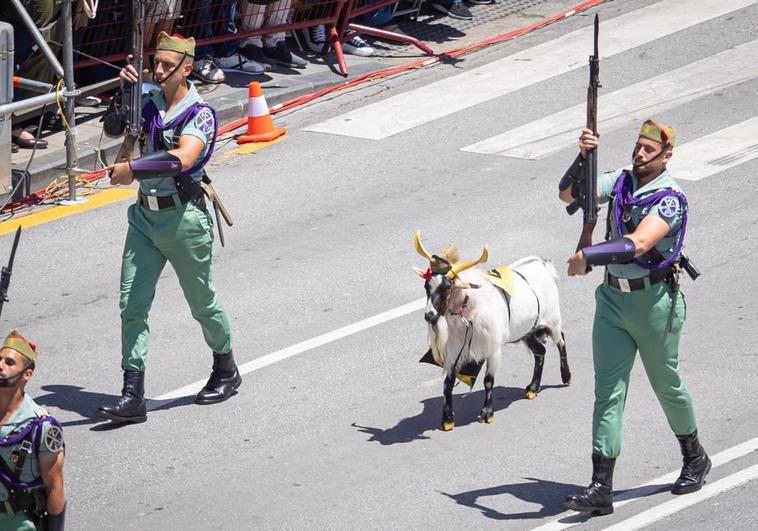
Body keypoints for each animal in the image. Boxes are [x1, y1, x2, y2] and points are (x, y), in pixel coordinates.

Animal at [416, 233, 568, 432]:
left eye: (447, 287)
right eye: (427, 287)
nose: (429, 315)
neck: (471, 308)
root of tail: (543, 264)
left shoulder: (492, 349)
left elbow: (488, 380)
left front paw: (487, 413)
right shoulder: (454, 351)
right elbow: (447, 384)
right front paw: (447, 419)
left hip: (552, 320)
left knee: (561, 340)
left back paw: (566, 377)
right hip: (526, 330)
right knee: (540, 351)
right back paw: (533, 388)